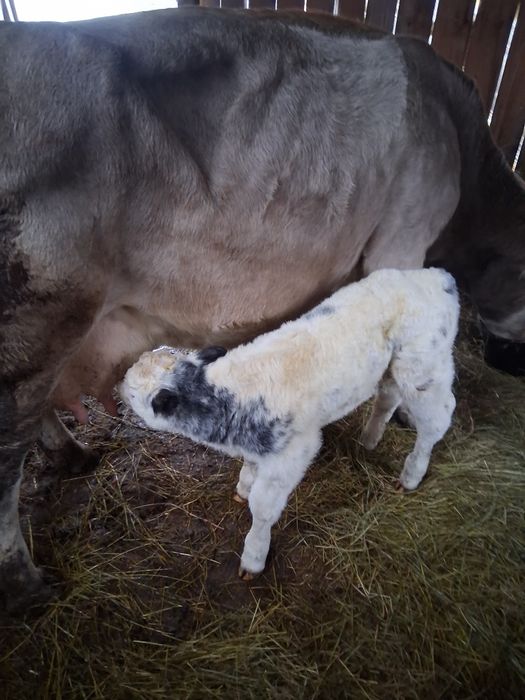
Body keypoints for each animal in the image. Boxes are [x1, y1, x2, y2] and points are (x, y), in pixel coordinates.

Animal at [0, 7, 524, 611]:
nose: (512, 364)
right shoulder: (402, 238)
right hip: (34, 326)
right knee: (6, 459)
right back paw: (25, 584)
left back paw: (74, 457)